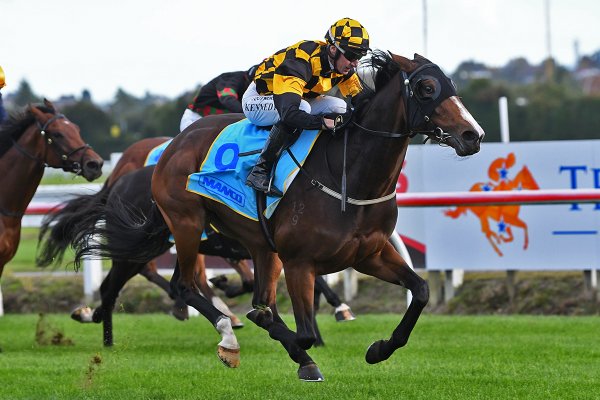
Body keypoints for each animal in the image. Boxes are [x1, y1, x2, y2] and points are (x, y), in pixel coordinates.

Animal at [70, 51, 486, 380]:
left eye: (450, 83)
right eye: (427, 88)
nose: (473, 134)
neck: (349, 176)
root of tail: (168, 149)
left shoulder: (370, 254)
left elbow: (421, 290)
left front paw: (379, 348)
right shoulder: (300, 261)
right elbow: (299, 330)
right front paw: (303, 353)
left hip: (257, 245)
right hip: (186, 223)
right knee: (180, 285)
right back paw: (224, 334)